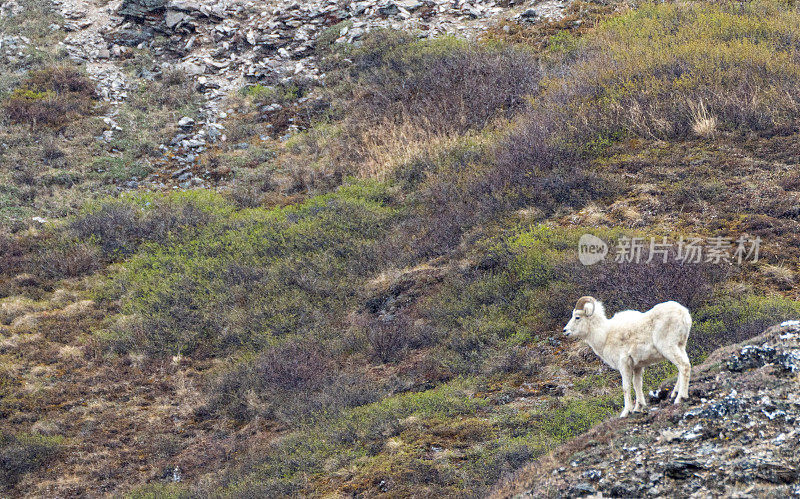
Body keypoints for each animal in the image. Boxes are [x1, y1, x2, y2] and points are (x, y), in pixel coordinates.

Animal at [564, 296, 692, 418]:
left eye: (577, 317)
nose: (565, 331)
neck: (605, 335)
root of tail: (684, 314)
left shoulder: (624, 365)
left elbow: (626, 387)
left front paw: (626, 412)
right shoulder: (637, 367)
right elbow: (637, 384)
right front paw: (638, 408)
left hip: (668, 347)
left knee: (684, 366)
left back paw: (680, 398)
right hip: (681, 346)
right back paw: (674, 394)